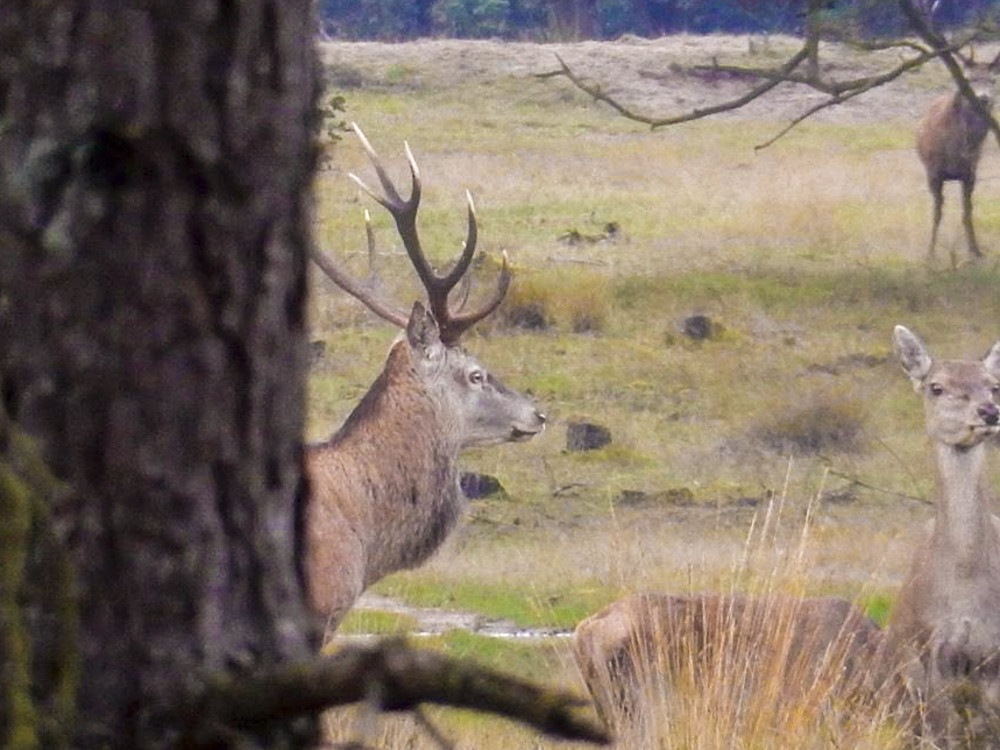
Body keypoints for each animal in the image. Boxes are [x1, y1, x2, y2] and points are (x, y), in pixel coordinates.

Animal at [884, 328, 1000, 748]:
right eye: (936, 386)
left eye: (993, 385)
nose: (989, 411)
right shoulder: (931, 653)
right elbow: (942, 734)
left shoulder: (993, 658)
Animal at [916, 50, 1000, 264]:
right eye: (969, 79)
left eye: (993, 80)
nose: (983, 98)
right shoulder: (934, 172)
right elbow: (936, 213)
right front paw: (930, 253)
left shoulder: (970, 172)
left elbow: (967, 212)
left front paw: (975, 251)